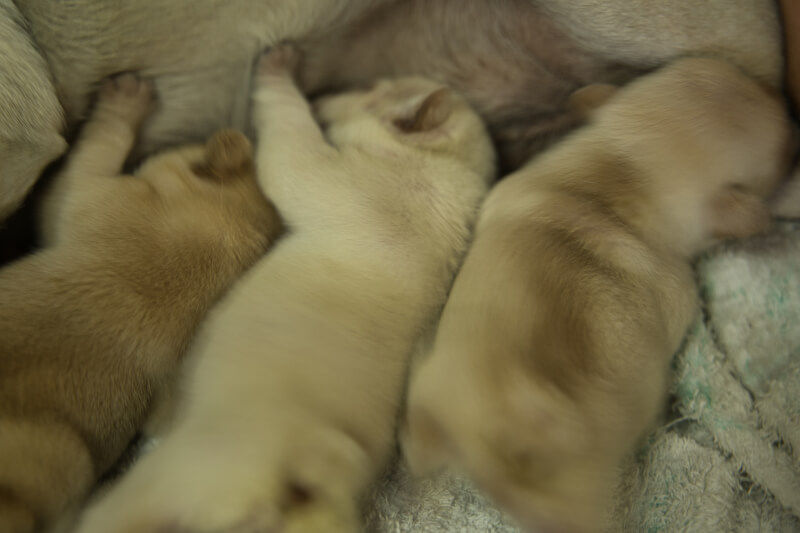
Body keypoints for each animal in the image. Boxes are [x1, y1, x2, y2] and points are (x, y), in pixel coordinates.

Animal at [72, 45, 496, 532]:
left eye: (370, 88)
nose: (323, 91)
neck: (449, 166)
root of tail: (287, 487)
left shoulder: (313, 169)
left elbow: (286, 118)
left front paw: (279, 63)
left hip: (160, 480)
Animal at [404, 57, 792, 532]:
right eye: (786, 152)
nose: (780, 96)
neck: (622, 171)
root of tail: (493, 448)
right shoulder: (680, 289)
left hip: (432, 398)